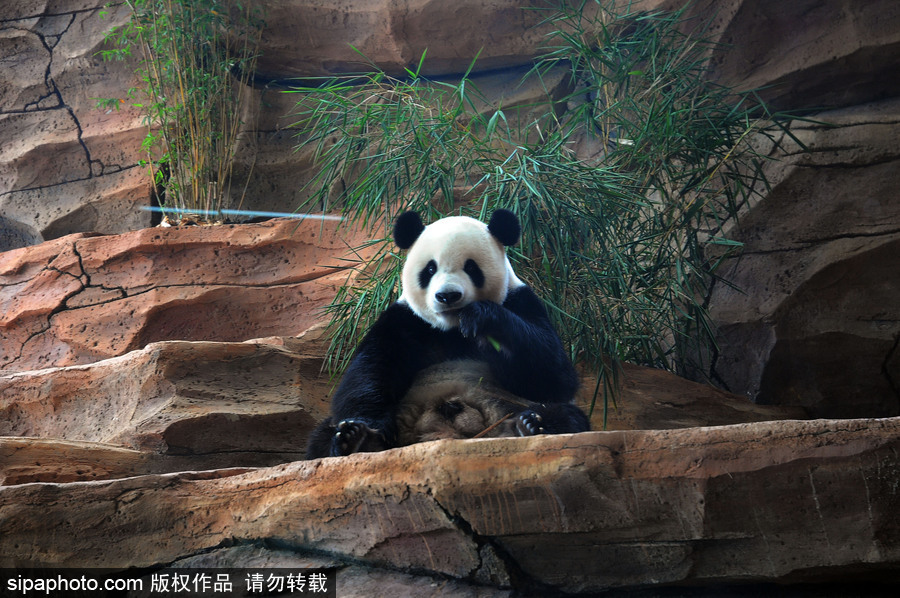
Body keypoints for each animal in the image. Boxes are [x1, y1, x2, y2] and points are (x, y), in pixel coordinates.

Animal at [306, 211, 592, 460]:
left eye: (471, 267)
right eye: (430, 269)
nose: (448, 296)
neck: (451, 329)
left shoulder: (521, 301)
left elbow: (551, 377)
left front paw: (483, 318)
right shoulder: (403, 320)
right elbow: (368, 373)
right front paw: (363, 430)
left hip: (512, 405)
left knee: (566, 415)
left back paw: (531, 425)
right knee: (322, 434)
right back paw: (358, 439)